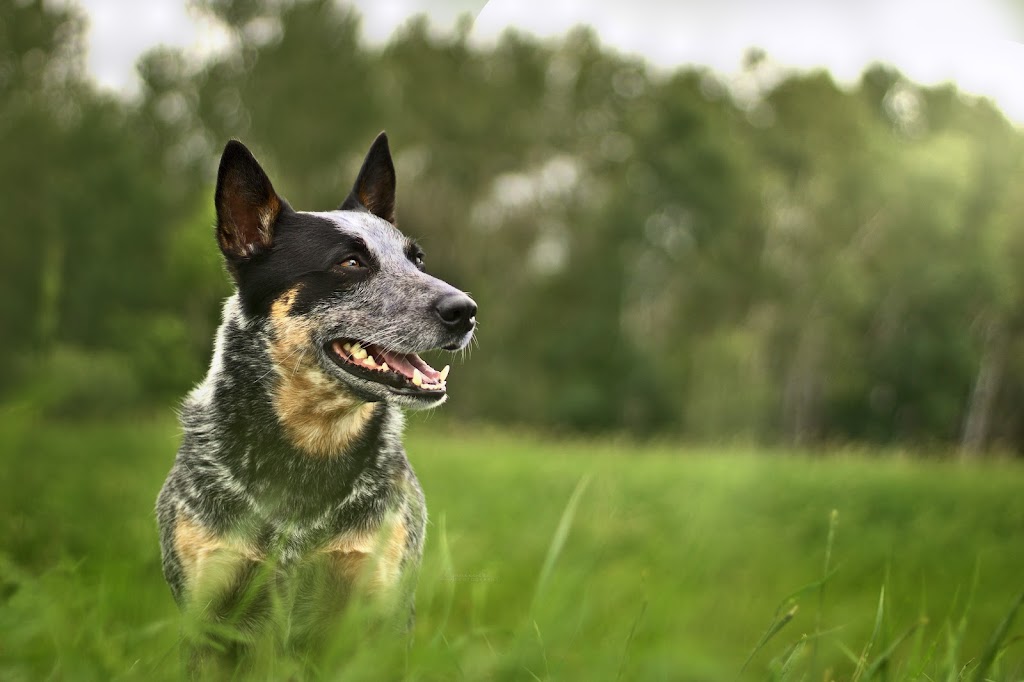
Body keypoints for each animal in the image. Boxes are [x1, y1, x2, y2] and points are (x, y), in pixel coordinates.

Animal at [153, 133, 477, 663]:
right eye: (351, 262)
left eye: (417, 260)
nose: (465, 310)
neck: (310, 445)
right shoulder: (211, 610)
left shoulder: (378, 603)